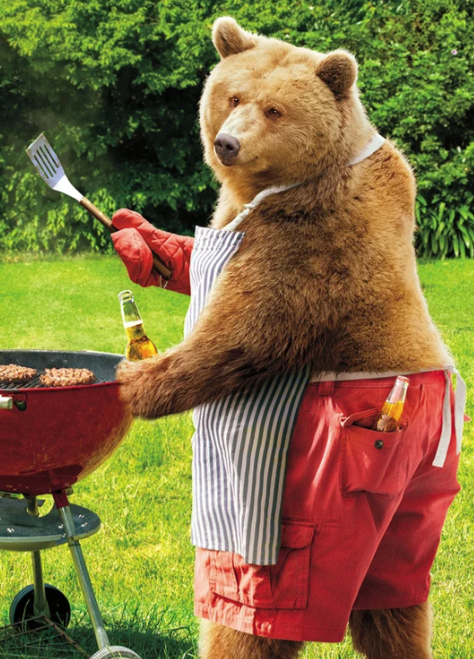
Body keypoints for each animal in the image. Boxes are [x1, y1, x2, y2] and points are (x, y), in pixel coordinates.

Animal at [114, 16, 461, 659]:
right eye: (233, 97)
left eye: (274, 110)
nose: (226, 143)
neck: (276, 184)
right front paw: (139, 240)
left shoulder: (309, 234)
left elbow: (246, 327)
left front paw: (139, 380)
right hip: (416, 499)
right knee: (393, 599)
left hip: (305, 484)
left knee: (250, 609)